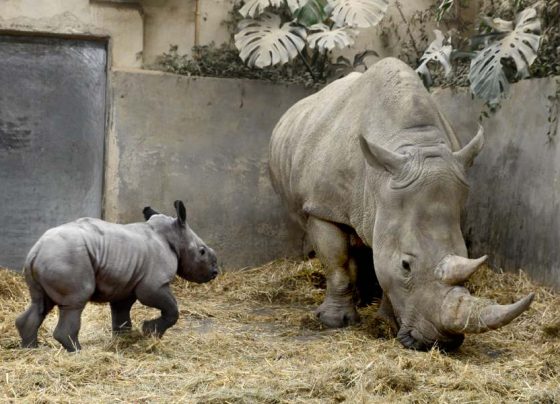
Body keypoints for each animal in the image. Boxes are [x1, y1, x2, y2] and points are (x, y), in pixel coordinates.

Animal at [15, 200, 218, 351]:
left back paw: (30, 348)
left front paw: (125, 339)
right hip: (67, 258)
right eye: (202, 252)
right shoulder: (154, 284)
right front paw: (149, 332)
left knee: (41, 303)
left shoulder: (126, 283)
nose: (214, 272)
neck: (173, 235)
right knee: (75, 302)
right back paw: (78, 351)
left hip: (51, 259)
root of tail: (36, 251)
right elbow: (172, 309)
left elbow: (121, 312)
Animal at [269, 57, 534, 350]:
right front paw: (335, 322)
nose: (441, 342)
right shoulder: (322, 207)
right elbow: (336, 261)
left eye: (465, 254)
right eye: (406, 265)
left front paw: (385, 322)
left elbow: (383, 264)